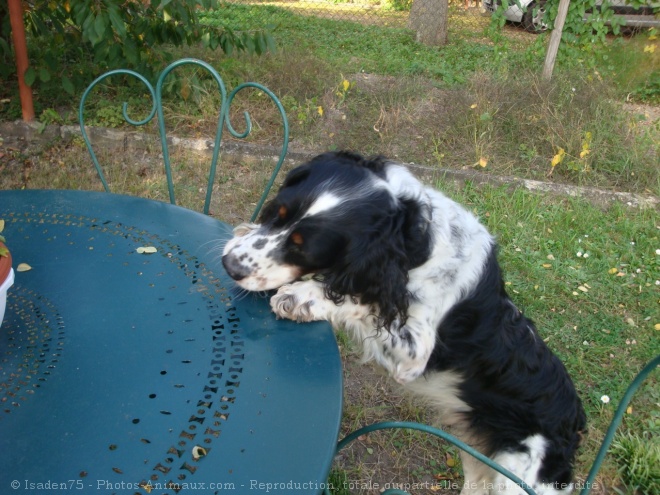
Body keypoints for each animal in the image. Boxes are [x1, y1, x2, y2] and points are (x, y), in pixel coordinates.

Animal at [224, 152, 584, 495]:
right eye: (277, 213)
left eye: (302, 248)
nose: (230, 265)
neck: (413, 241)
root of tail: (575, 424)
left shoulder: (414, 353)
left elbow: (361, 301)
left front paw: (301, 297)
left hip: (517, 478)